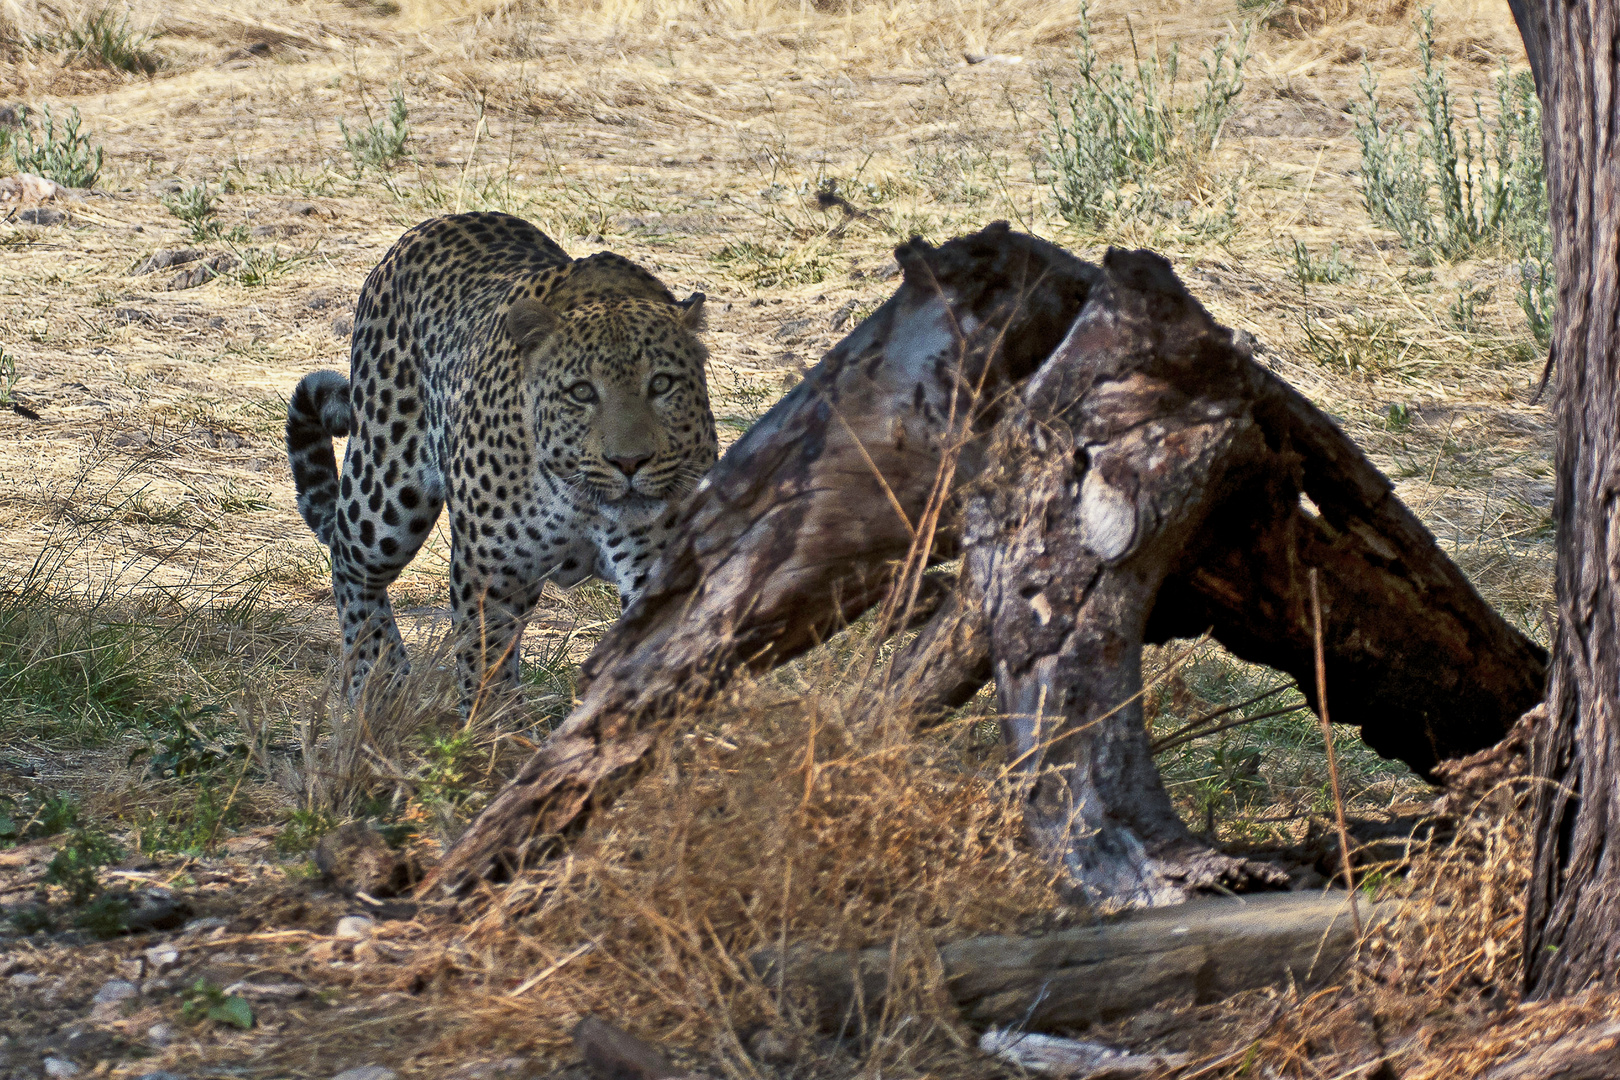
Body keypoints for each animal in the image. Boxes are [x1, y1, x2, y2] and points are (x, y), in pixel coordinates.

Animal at [288, 215, 719, 712]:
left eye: (662, 384)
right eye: (582, 392)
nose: (629, 462)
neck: (580, 499)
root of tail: (435, 223)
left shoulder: (659, 566)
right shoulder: (489, 575)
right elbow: (484, 668)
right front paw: (487, 731)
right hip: (386, 493)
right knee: (350, 560)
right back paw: (378, 682)